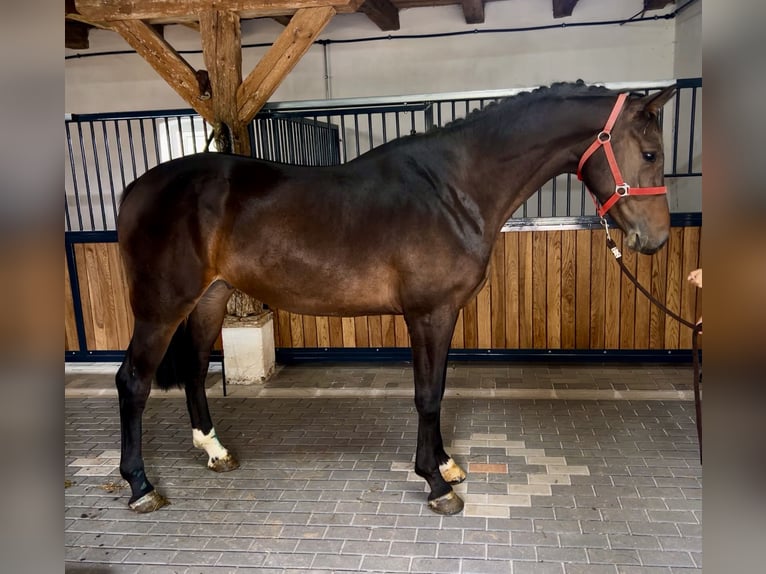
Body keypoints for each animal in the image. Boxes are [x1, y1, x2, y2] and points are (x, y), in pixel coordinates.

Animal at [115, 81, 676, 515]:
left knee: (192, 370)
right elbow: (427, 395)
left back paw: (214, 450)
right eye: (650, 154)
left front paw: (446, 464)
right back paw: (141, 485)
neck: (452, 189)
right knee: (133, 382)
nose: (656, 240)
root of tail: (136, 189)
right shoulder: (428, 314)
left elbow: (439, 389)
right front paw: (436, 484)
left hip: (210, 298)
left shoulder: (443, 314)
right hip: (160, 308)